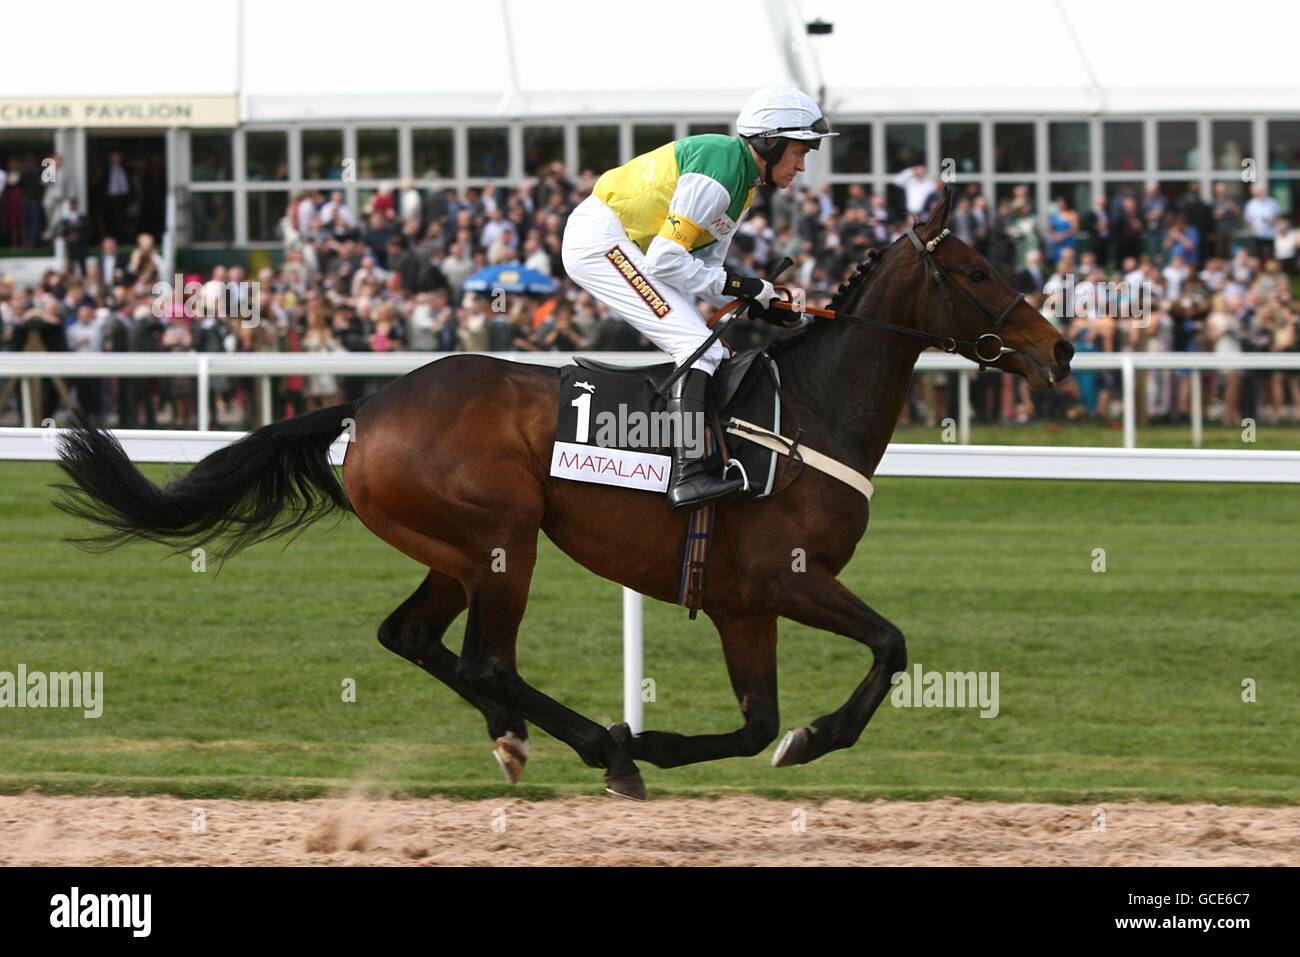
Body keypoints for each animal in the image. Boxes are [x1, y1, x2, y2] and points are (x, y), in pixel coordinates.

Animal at [50, 188, 1071, 800]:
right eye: (977, 271)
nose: (1059, 348)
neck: (811, 410)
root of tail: (368, 405)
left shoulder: (744, 602)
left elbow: (757, 723)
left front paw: (720, 739)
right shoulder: (788, 577)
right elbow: (888, 646)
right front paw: (795, 739)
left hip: (458, 551)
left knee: (416, 638)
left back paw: (525, 738)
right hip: (506, 537)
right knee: (485, 659)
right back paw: (600, 747)